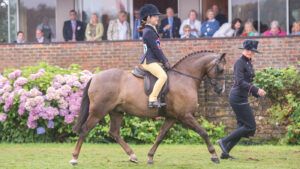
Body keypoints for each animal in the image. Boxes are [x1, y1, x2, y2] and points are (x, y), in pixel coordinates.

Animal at [69, 51, 225, 165]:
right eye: (220, 69)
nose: (221, 90)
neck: (184, 78)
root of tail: (95, 77)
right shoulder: (185, 116)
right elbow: (203, 132)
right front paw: (214, 155)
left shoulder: (172, 117)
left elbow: (160, 136)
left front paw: (150, 157)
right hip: (98, 111)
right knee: (85, 130)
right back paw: (74, 158)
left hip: (116, 112)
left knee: (114, 132)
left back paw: (132, 156)